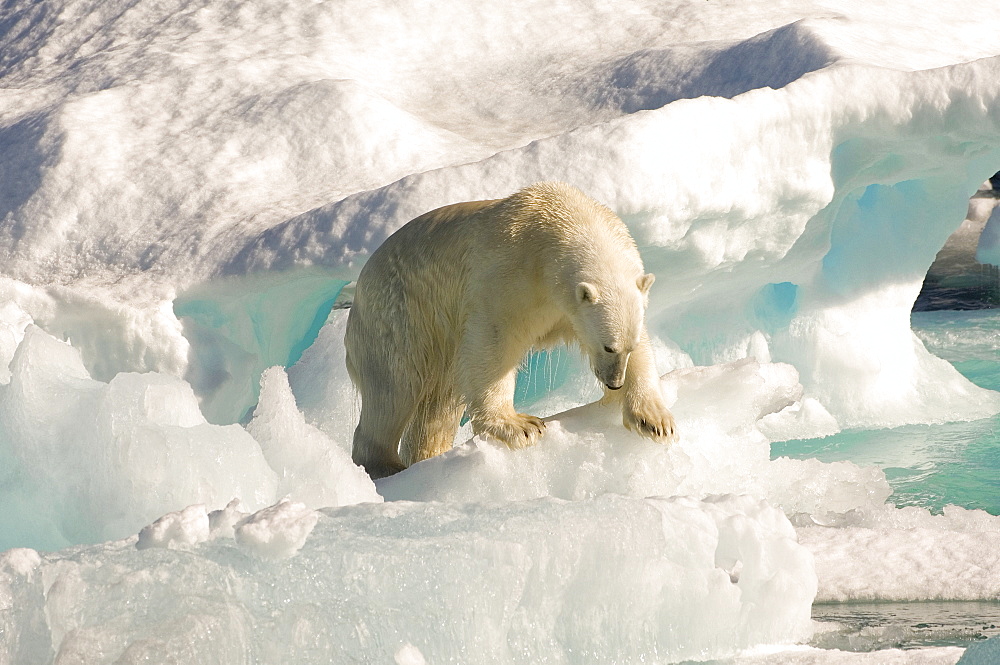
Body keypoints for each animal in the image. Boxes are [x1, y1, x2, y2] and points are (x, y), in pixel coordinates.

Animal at [346, 182, 680, 478]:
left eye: (626, 346)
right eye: (608, 346)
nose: (614, 382)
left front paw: (655, 421)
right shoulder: (509, 273)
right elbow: (493, 344)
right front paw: (521, 426)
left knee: (438, 406)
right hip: (400, 315)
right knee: (395, 386)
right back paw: (385, 465)